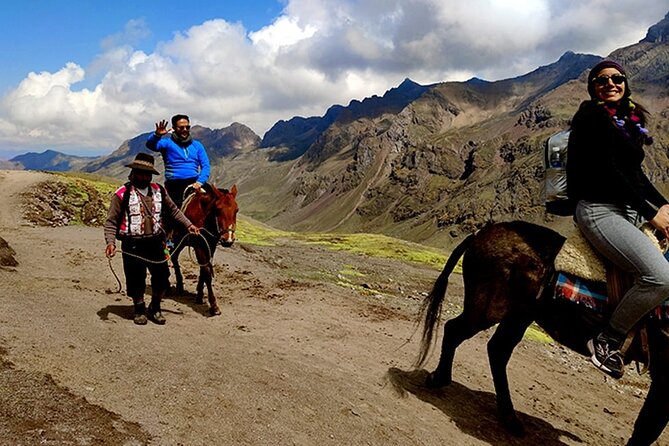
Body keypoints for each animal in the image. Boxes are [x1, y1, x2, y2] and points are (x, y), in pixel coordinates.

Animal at [170, 183, 237, 316]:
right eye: (218, 209)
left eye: (236, 210)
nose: (228, 240)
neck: (204, 217)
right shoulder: (199, 246)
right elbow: (206, 271)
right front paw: (214, 306)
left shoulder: (210, 246)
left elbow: (204, 269)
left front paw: (200, 296)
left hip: (181, 242)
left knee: (174, 256)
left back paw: (180, 286)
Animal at [418, 221, 668, 444]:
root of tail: (480, 233)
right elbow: (648, 427)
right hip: (488, 309)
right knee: (454, 330)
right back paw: (439, 379)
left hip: (519, 316)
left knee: (497, 350)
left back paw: (510, 419)